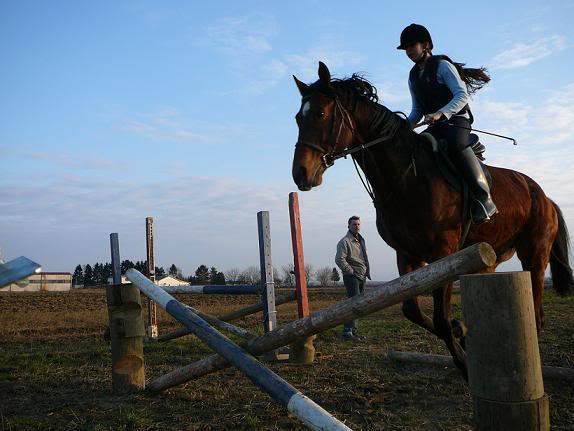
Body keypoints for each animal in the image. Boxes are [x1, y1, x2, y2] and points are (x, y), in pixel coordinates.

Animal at [294, 60, 572, 378]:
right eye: (298, 118)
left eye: (321, 114)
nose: (300, 174)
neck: (407, 178)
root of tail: (544, 195)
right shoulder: (407, 254)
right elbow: (413, 312)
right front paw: (461, 331)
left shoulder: (444, 253)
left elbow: (440, 318)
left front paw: (463, 361)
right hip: (489, 257)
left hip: (534, 253)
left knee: (537, 310)